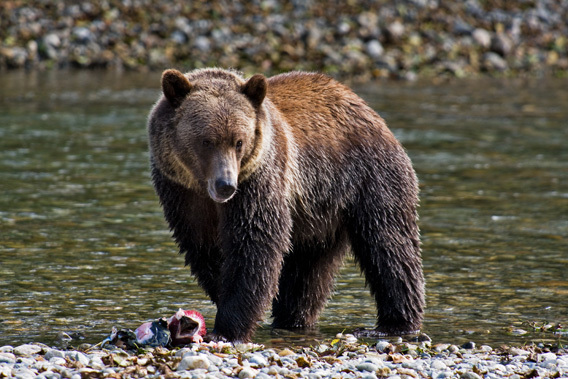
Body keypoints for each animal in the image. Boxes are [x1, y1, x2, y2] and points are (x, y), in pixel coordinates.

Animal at [149, 68, 424, 344]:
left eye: (239, 141)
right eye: (206, 141)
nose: (225, 184)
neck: (204, 190)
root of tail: (368, 110)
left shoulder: (258, 180)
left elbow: (254, 244)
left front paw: (227, 329)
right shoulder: (181, 193)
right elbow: (205, 248)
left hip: (368, 178)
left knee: (388, 245)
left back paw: (394, 323)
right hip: (317, 214)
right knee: (307, 273)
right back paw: (293, 320)